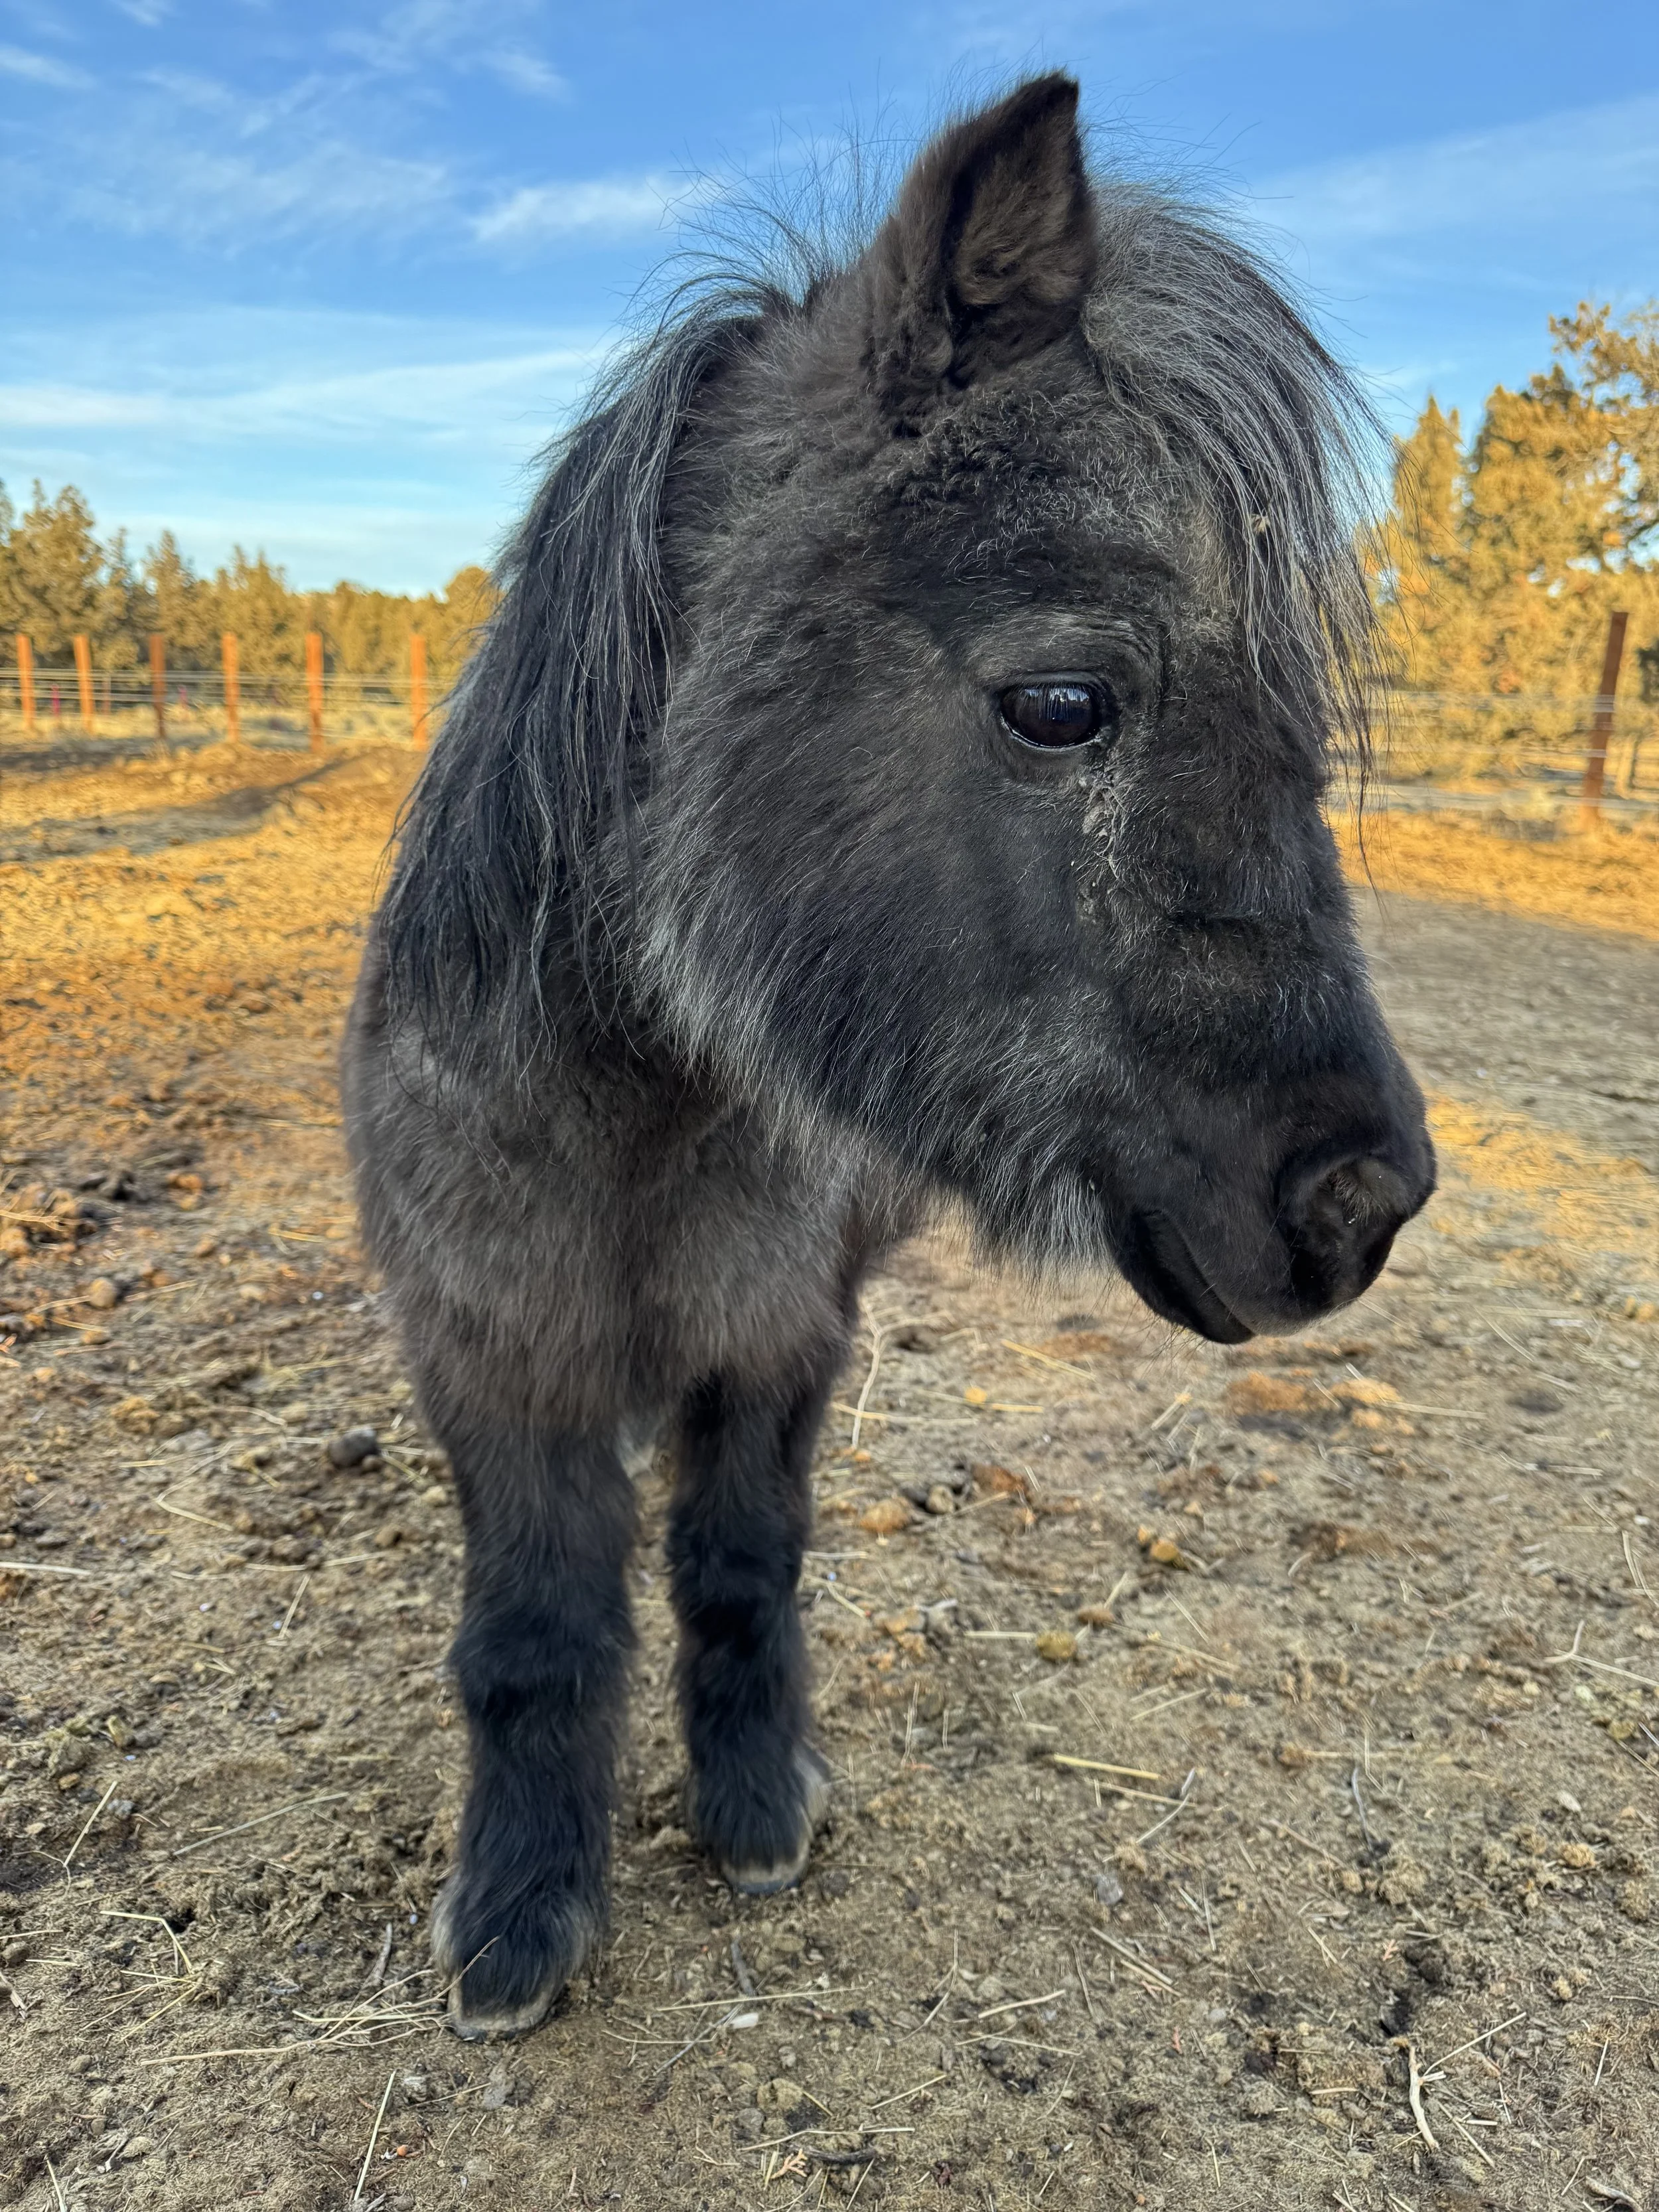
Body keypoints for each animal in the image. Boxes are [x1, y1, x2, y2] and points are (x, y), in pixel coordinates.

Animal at [343, 72, 1435, 2039]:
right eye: (1064, 701)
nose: (1365, 1201)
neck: (635, 1110)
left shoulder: (780, 1334)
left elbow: (736, 1566)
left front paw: (757, 1809)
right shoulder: (492, 1347)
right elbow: (532, 1633)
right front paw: (519, 1917)